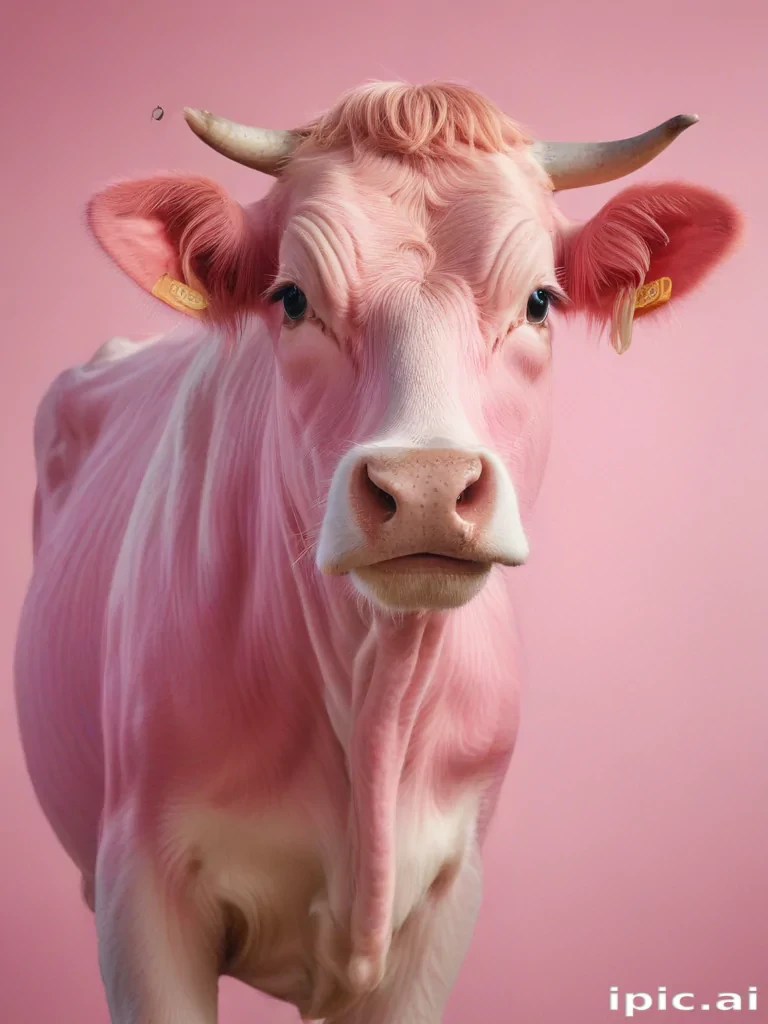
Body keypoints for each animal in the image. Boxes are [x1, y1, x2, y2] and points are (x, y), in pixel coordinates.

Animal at [14, 81, 740, 1024]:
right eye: (290, 299)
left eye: (541, 302)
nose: (427, 486)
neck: (376, 706)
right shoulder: (143, 892)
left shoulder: (447, 900)